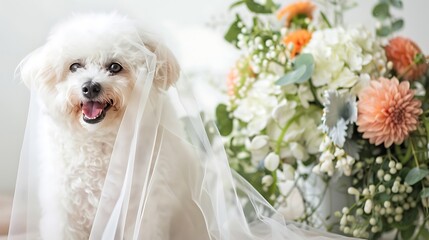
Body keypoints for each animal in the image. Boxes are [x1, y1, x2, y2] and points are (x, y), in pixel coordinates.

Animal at [20, 13, 209, 240]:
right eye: (75, 66)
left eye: (115, 67)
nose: (90, 87)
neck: (101, 140)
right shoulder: (65, 212)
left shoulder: (142, 213)